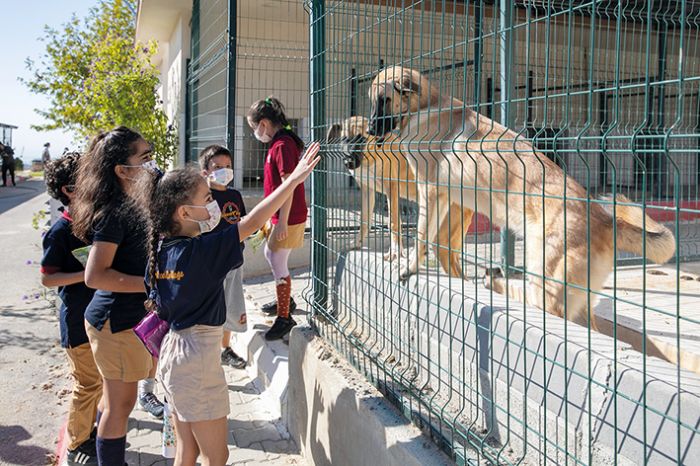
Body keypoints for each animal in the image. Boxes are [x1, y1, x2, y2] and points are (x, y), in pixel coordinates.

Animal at [328, 115, 476, 276]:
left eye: (361, 139)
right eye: (344, 139)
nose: (348, 161)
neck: (370, 156)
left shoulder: (391, 188)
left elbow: (393, 223)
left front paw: (395, 252)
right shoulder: (367, 190)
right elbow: (364, 220)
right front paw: (356, 243)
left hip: (442, 237)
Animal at [370, 65, 676, 330]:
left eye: (384, 100)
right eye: (373, 101)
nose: (371, 131)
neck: (424, 107)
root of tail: (605, 219)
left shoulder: (430, 191)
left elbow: (421, 236)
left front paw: (409, 267)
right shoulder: (445, 198)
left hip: (545, 277)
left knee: (535, 300)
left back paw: (495, 282)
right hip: (576, 299)